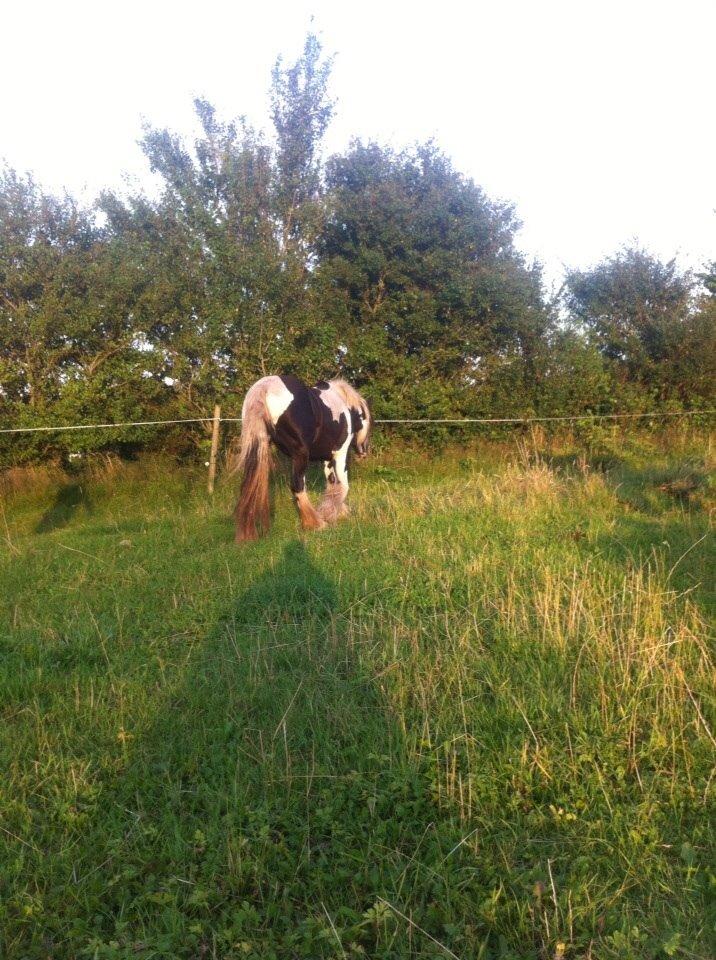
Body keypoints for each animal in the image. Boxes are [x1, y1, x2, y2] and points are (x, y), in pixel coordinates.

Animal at [235, 374, 372, 540]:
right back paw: (315, 523)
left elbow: (332, 484)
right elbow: (343, 486)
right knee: (298, 486)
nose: (364, 451)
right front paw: (333, 513)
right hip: (301, 455)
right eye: (366, 419)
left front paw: (335, 511)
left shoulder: (327, 459)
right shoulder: (340, 453)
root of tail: (265, 386)